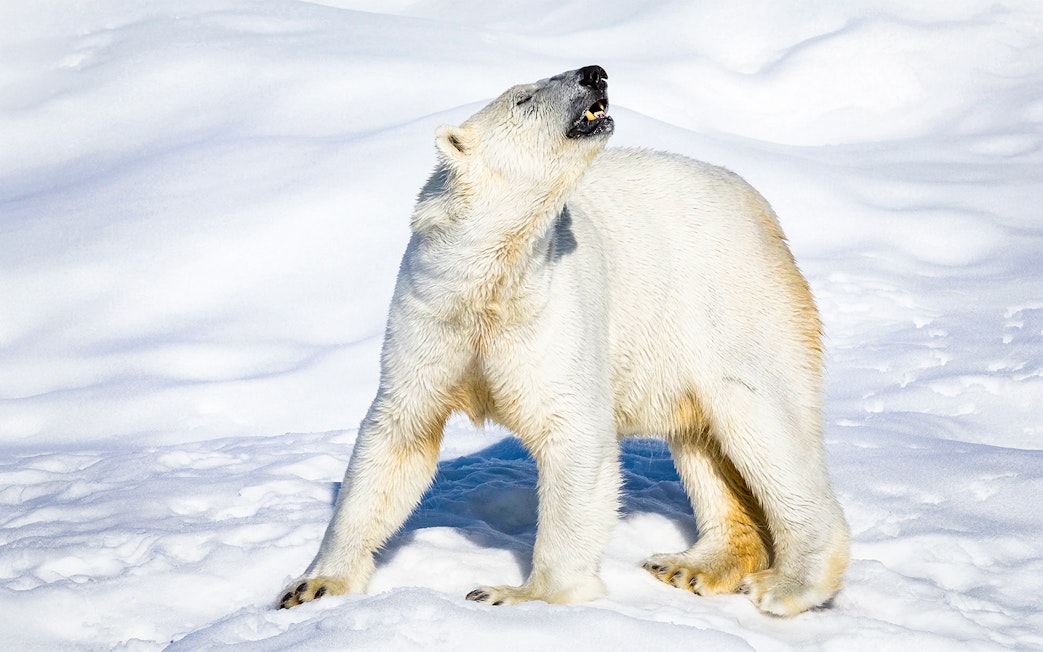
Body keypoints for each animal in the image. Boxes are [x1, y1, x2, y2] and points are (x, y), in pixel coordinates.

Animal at [278, 65, 850, 616]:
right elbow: (397, 436)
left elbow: (573, 434)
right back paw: (691, 566)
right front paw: (312, 587)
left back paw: (788, 585)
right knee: (703, 443)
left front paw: (514, 595)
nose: (594, 73)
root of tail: (761, 209)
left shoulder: (555, 311)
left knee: (764, 424)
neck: (491, 281)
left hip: (732, 306)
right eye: (524, 98)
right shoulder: (431, 314)